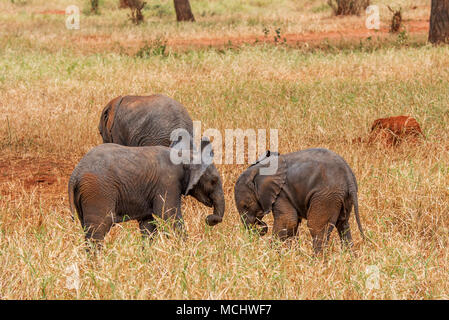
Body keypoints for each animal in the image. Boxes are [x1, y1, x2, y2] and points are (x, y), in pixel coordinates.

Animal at [67, 138, 224, 245]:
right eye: (214, 181)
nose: (208, 218)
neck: (185, 155)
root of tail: (75, 173)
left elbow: (148, 225)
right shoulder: (168, 182)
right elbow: (169, 216)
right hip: (98, 191)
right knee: (99, 229)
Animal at [234, 149, 364, 254]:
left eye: (245, 206)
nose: (262, 226)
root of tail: (348, 176)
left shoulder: (281, 193)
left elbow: (288, 220)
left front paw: (271, 256)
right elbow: (293, 223)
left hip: (326, 195)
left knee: (316, 227)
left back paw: (316, 263)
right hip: (341, 197)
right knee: (343, 225)